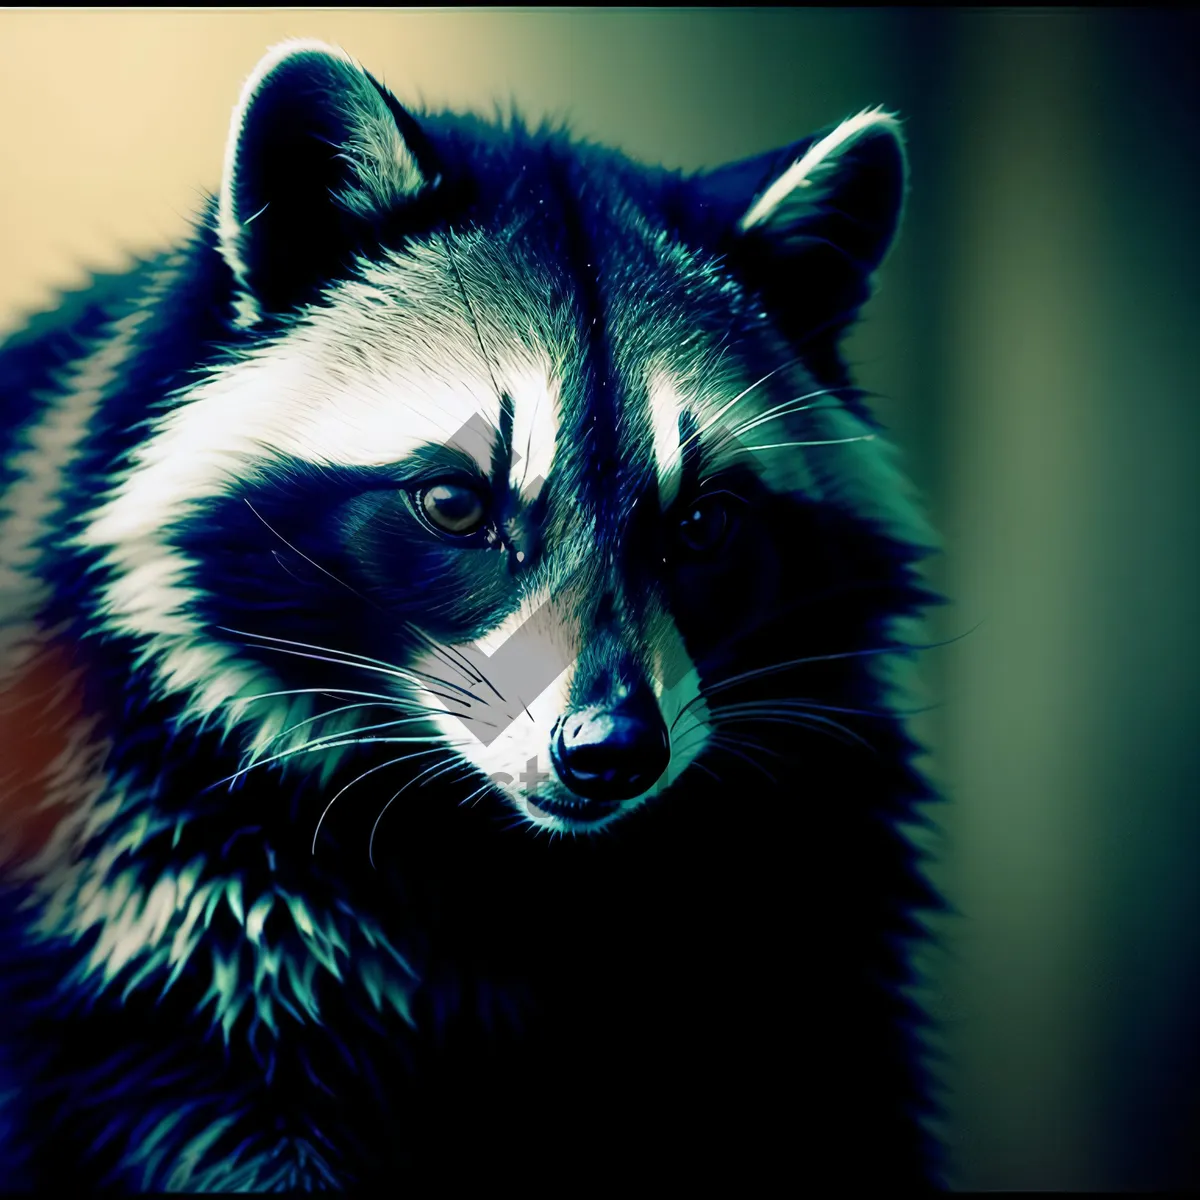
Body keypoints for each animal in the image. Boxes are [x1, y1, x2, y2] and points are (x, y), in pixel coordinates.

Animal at [0, 37, 945, 1190]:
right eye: (456, 505)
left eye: (704, 524)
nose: (612, 751)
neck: (493, 849)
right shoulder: (168, 912)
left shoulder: (818, 904)